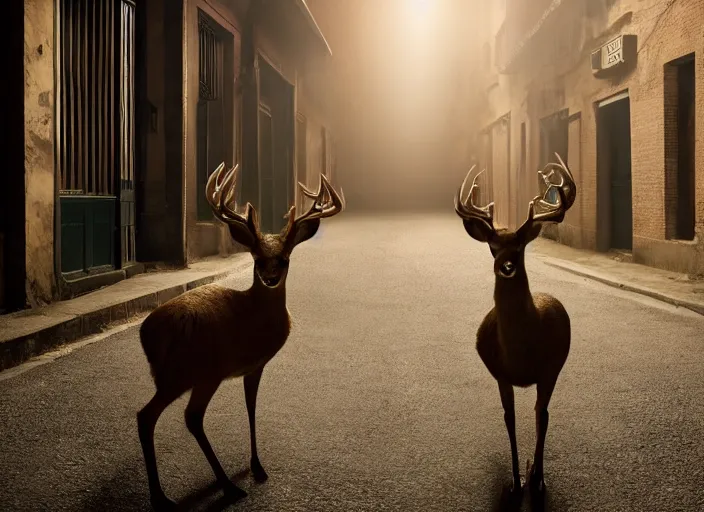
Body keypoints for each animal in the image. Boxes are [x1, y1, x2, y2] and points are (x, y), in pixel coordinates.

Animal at [135, 162, 344, 510]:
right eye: (257, 259)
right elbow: (252, 407)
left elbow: (250, 407)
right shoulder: (253, 363)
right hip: (197, 371)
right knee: (176, 416)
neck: (253, 314)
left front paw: (255, 465)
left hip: (178, 375)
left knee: (155, 416)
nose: (270, 278)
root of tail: (150, 333)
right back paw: (202, 491)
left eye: (284, 259)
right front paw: (257, 468)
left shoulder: (247, 367)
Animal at [454, 152, 576, 500]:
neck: (522, 353)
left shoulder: (550, 370)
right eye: (492, 246)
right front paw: (515, 480)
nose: (505, 266)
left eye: (519, 245)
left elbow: (542, 416)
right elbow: (509, 419)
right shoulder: (500, 373)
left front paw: (537, 478)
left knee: (540, 414)